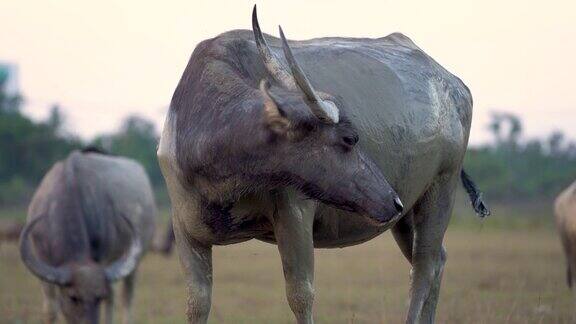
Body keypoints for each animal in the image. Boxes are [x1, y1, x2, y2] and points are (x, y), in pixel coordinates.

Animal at [20, 150, 156, 324]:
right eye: (73, 297)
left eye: (98, 297)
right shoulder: (42, 259)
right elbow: (51, 310)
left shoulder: (102, 257)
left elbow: (109, 298)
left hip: (133, 262)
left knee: (124, 297)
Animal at [159, 6, 490, 322]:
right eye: (349, 138)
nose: (391, 200)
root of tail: (455, 86)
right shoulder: (186, 232)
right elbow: (197, 303)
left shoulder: (295, 215)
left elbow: (300, 295)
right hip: (408, 213)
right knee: (437, 261)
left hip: (441, 187)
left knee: (424, 266)